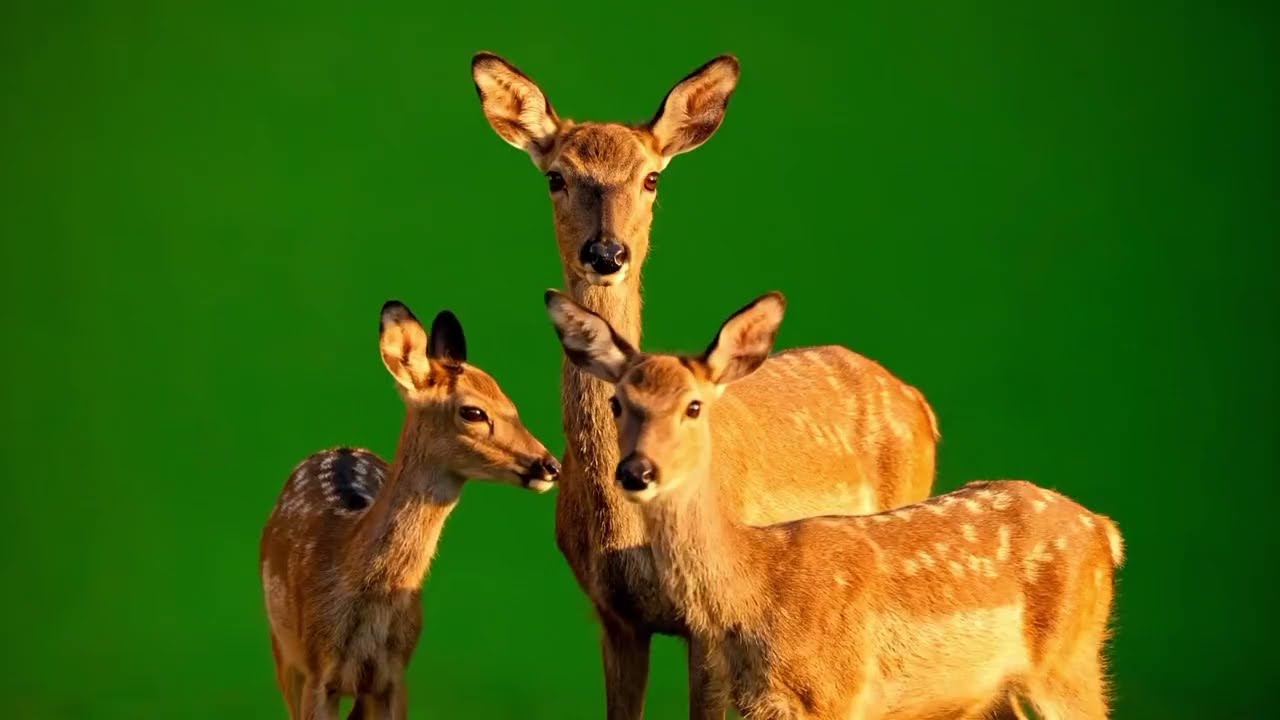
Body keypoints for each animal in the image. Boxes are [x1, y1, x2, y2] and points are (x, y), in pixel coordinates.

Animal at [259, 301, 561, 720]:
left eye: (511, 405)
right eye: (473, 412)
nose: (551, 465)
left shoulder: (395, 679)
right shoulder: (316, 672)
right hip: (282, 651)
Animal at [472, 53, 941, 718]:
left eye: (651, 179)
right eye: (556, 177)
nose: (606, 252)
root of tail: (919, 404)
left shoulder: (706, 625)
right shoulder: (611, 612)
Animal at [545, 288, 1125, 720]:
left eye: (693, 405)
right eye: (618, 402)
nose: (637, 471)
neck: (756, 584)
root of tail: (1104, 531)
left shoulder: (836, 694)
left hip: (1069, 663)